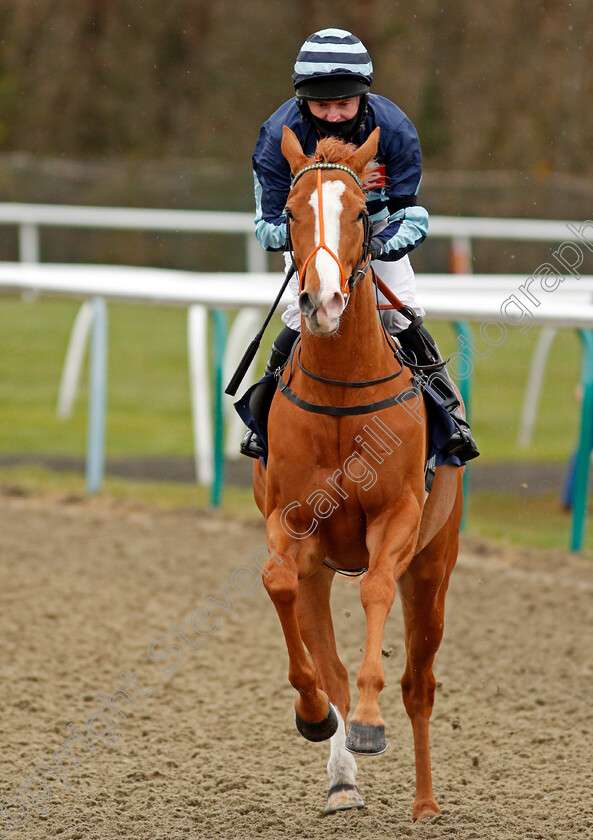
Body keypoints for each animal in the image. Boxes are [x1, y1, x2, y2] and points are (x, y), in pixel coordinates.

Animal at [250, 126, 462, 820]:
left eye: (364, 215)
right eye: (291, 213)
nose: (323, 301)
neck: (343, 393)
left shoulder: (397, 517)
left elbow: (375, 588)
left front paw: (370, 722)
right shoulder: (291, 521)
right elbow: (278, 585)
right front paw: (315, 716)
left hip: (435, 565)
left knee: (420, 682)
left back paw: (425, 804)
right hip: (322, 567)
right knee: (332, 664)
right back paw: (342, 781)